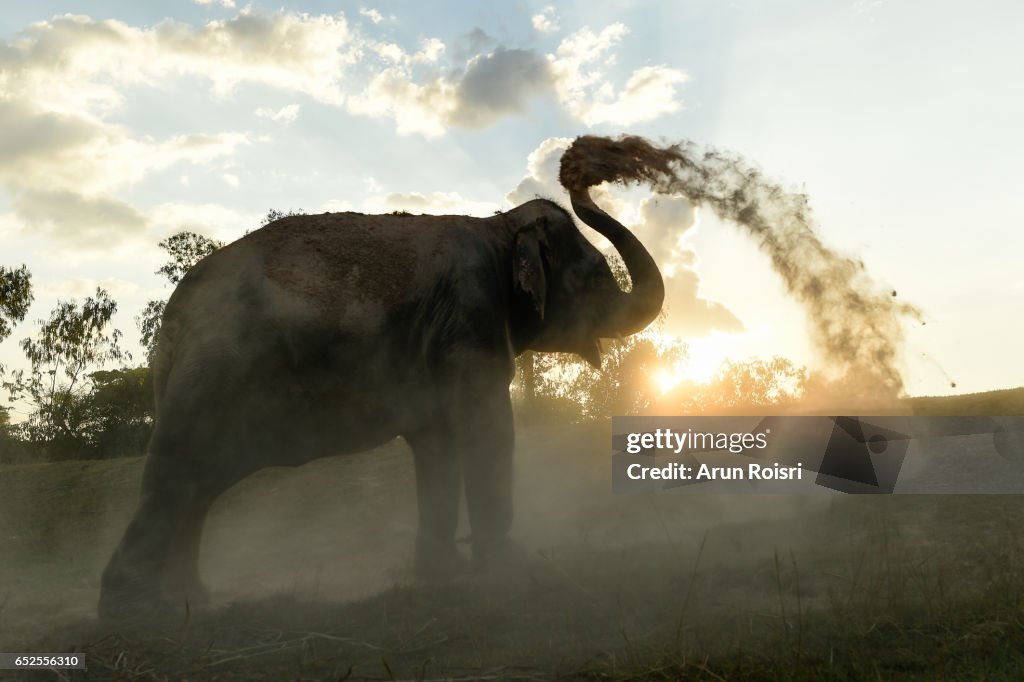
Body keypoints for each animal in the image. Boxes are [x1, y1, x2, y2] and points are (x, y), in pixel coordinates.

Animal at [97, 185, 665, 619]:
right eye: (594, 275)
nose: (581, 174)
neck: (500, 225)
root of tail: (174, 315)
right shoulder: (471, 318)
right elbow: (488, 429)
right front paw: (510, 569)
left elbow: (438, 445)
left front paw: (443, 577)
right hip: (213, 374)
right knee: (176, 475)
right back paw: (135, 611)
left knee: (198, 486)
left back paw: (189, 601)